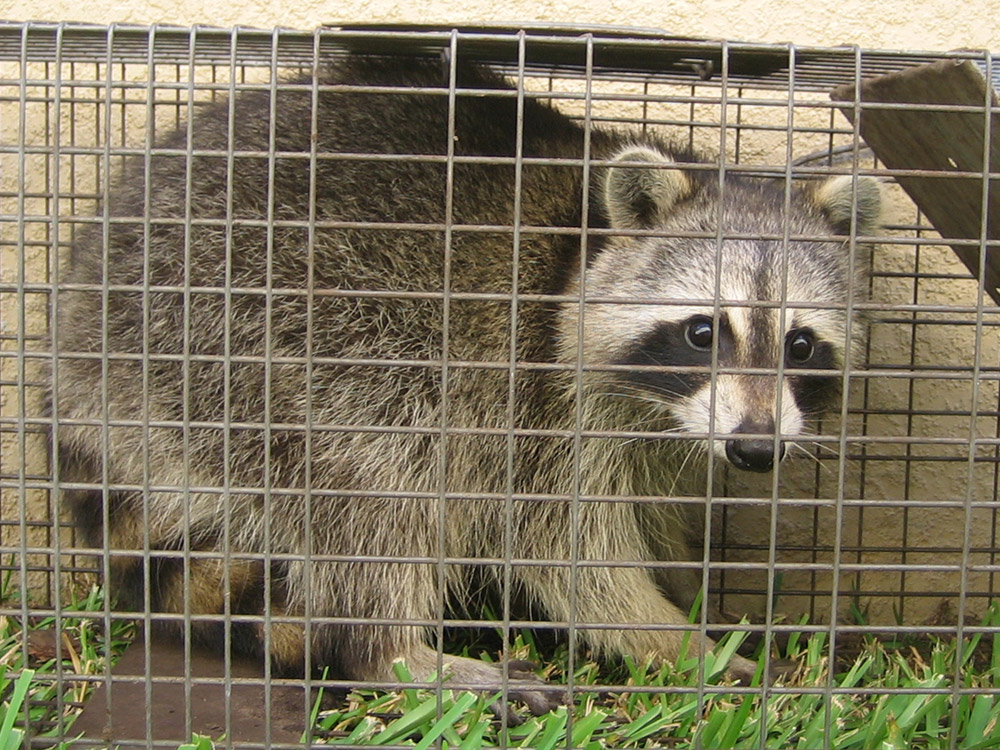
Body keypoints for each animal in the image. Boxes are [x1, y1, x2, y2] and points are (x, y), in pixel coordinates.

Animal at [48, 54, 876, 712]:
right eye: (704, 333)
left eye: (801, 344)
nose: (757, 450)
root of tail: (77, 341)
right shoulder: (538, 400)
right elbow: (567, 550)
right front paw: (674, 638)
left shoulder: (660, 430)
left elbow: (654, 511)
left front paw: (687, 592)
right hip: (248, 347)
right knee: (375, 485)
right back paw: (397, 655)